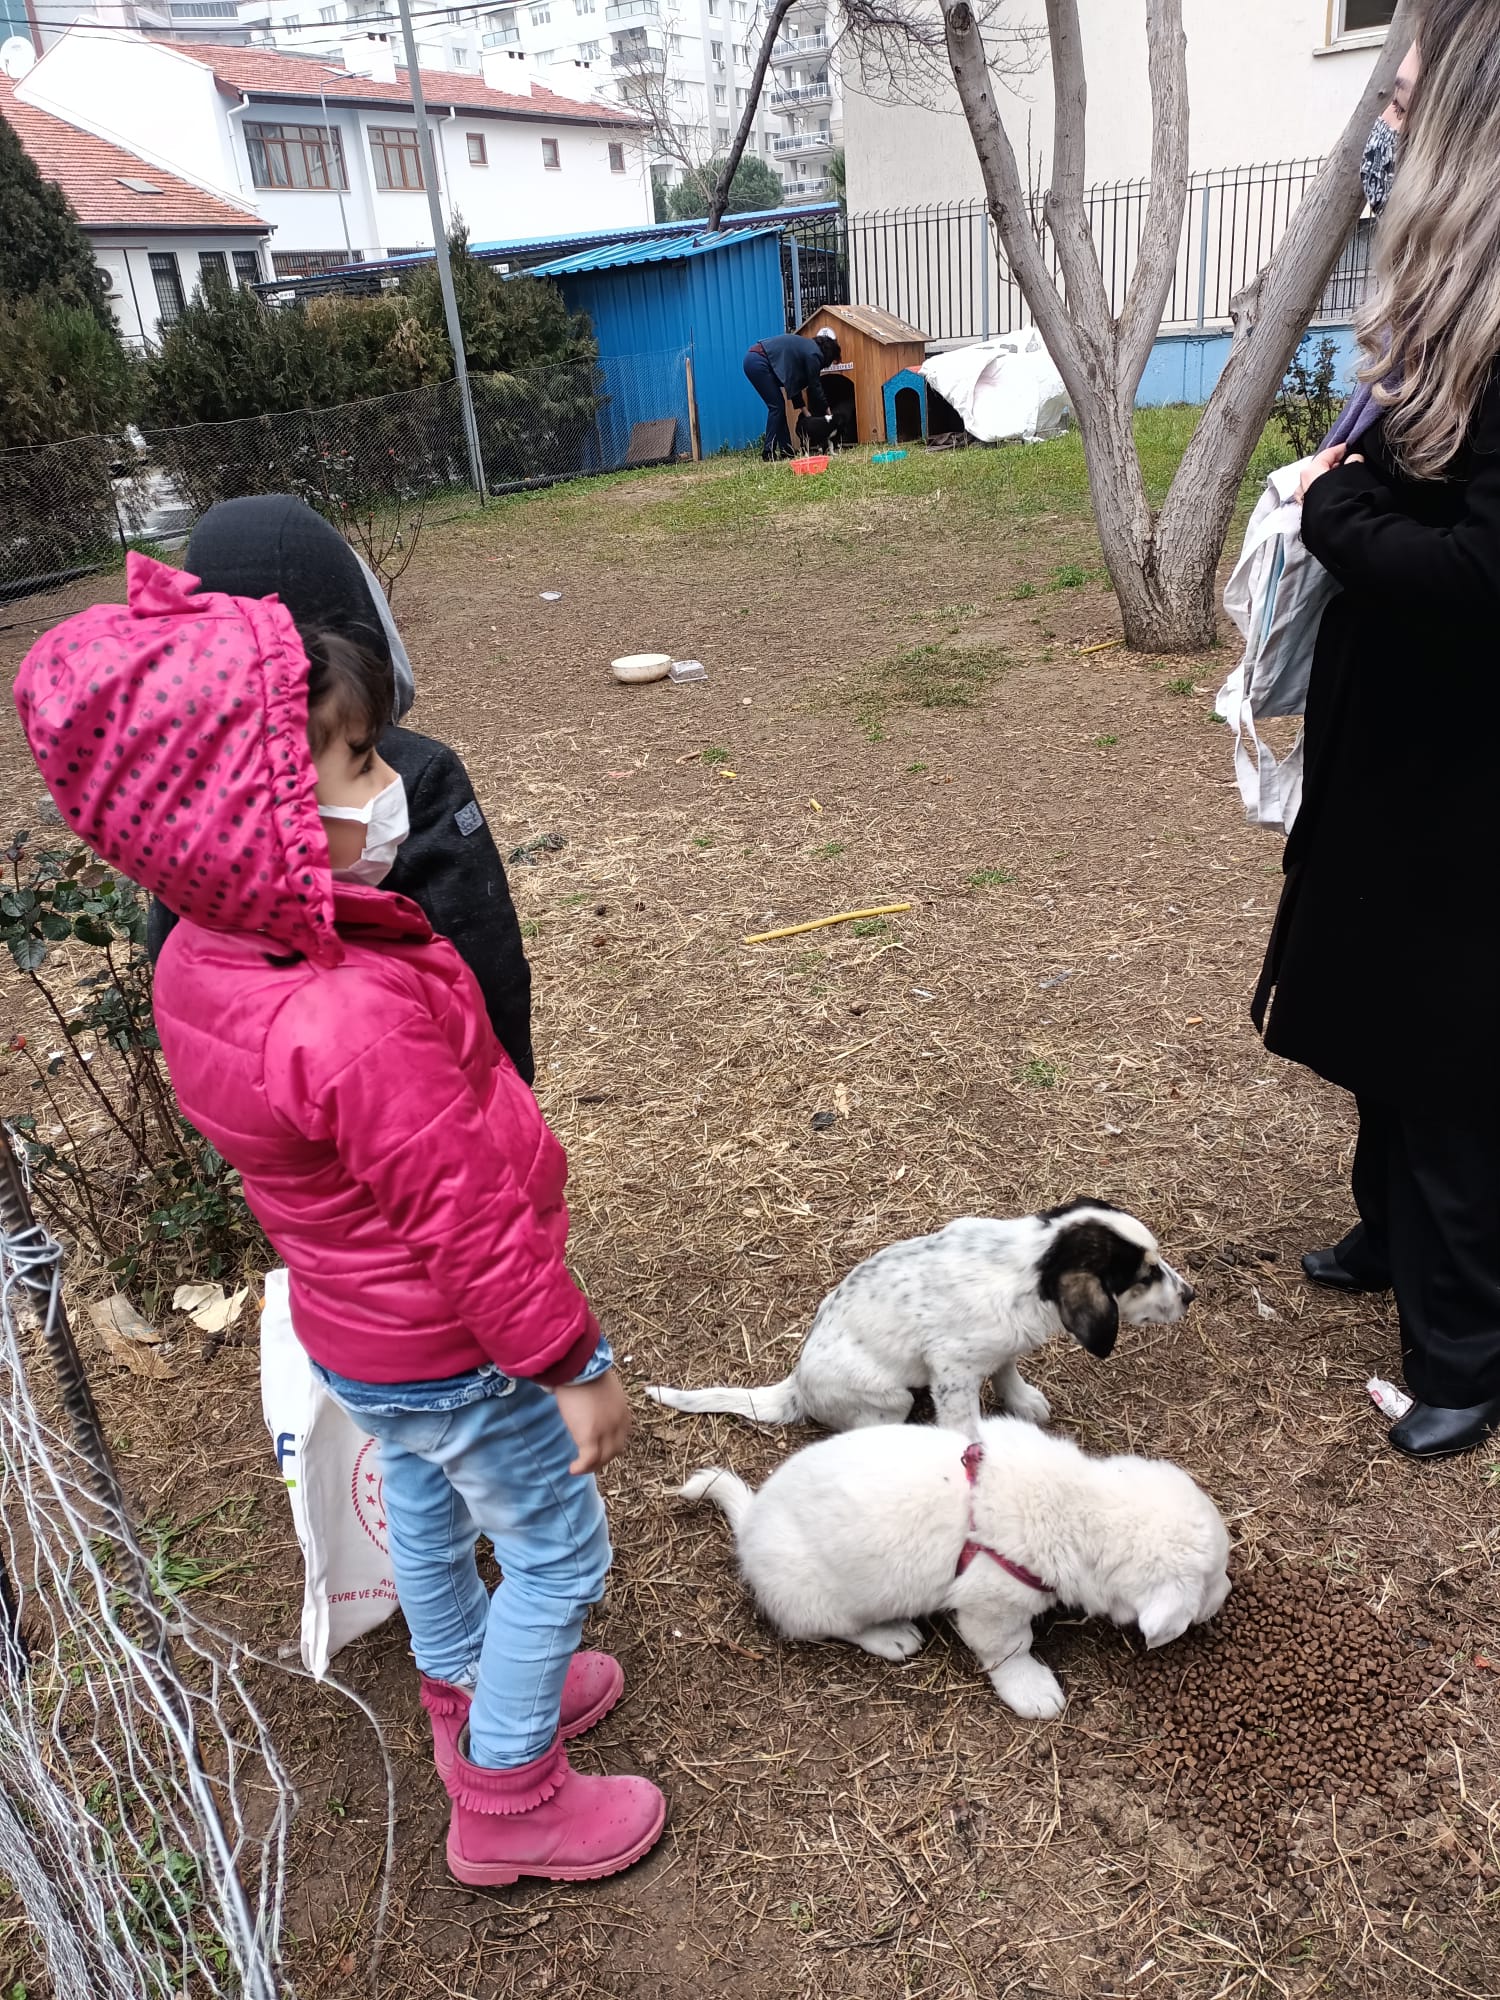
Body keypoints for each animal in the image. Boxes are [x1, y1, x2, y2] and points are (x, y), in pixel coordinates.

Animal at [648, 1200, 1200, 1440]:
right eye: (1145, 1276)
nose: (1191, 1295)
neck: (1029, 1268)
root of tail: (796, 1383)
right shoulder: (953, 1372)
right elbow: (966, 1430)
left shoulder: (998, 1348)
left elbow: (1007, 1369)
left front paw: (1021, 1400)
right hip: (890, 1399)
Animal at [680, 1408, 1232, 1720]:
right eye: (1210, 1582)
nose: (1228, 1594)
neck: (1077, 1505)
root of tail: (748, 1528)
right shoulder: (993, 1607)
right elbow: (1012, 1650)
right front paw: (1033, 1692)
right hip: (818, 1599)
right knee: (834, 1627)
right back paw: (892, 1636)